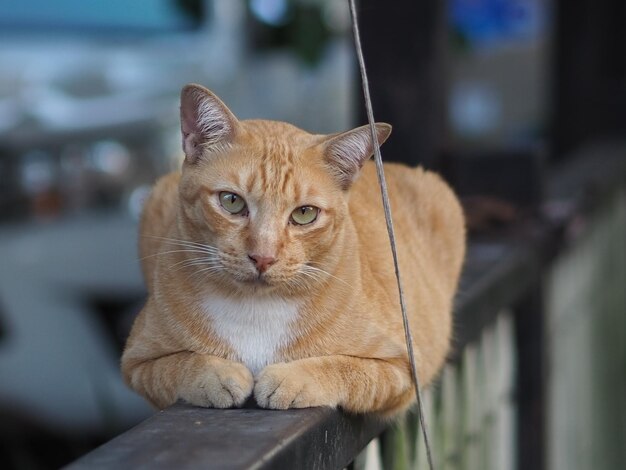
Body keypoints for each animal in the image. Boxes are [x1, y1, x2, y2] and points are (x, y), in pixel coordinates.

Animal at [120, 83, 464, 414]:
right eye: (231, 202)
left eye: (304, 214)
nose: (263, 257)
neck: (255, 309)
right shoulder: (139, 362)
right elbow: (179, 364)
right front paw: (216, 375)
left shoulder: (402, 366)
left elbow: (345, 369)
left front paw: (292, 380)